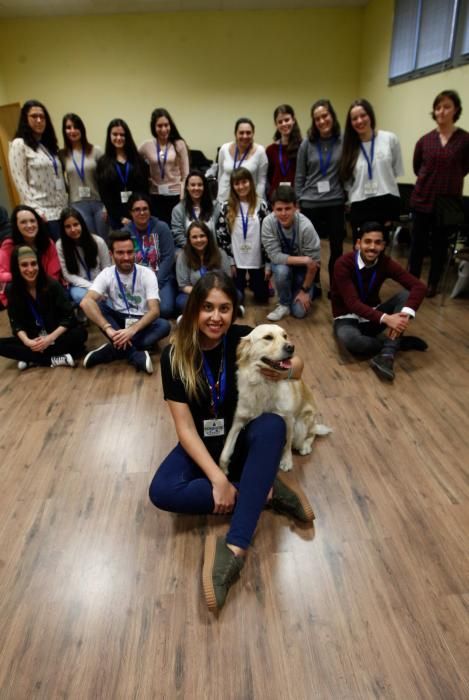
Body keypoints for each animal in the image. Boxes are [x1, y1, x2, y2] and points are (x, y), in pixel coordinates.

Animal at [218, 326, 330, 474]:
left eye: (285, 336)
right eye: (268, 337)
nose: (291, 347)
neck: (263, 383)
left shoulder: (288, 419)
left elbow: (287, 444)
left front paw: (287, 461)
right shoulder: (239, 420)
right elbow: (224, 453)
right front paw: (223, 470)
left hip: (301, 425)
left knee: (310, 435)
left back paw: (305, 446)